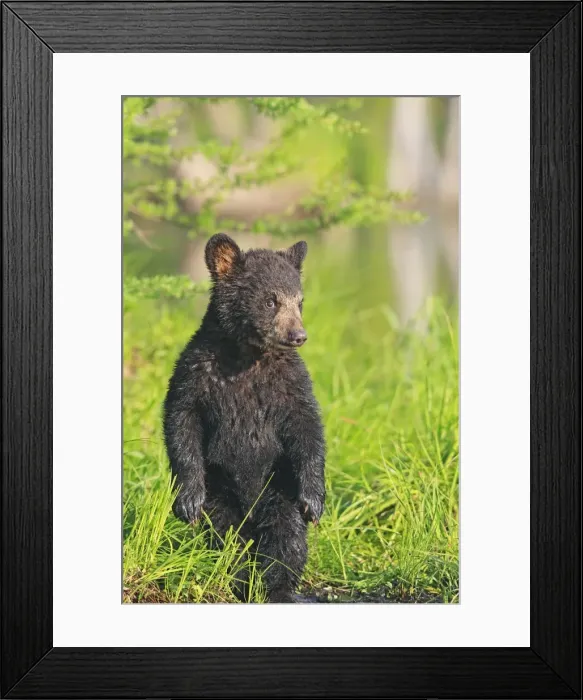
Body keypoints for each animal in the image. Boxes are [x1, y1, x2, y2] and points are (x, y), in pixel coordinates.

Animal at [163, 233, 326, 603]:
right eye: (270, 300)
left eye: (300, 302)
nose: (299, 336)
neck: (248, 357)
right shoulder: (197, 372)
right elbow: (182, 419)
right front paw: (188, 502)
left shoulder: (289, 382)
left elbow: (306, 427)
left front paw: (314, 501)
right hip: (221, 488)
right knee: (224, 533)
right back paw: (238, 575)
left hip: (277, 485)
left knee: (286, 535)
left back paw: (276, 587)